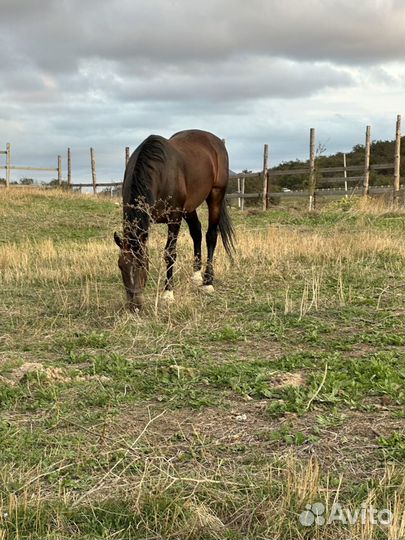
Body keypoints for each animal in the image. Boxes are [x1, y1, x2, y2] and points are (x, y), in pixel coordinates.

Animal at [113, 128, 234, 310]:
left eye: (142, 264)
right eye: (121, 265)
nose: (134, 306)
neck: (159, 173)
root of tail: (216, 141)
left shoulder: (174, 218)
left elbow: (170, 253)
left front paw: (168, 294)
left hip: (215, 195)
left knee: (211, 236)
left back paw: (207, 282)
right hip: (190, 207)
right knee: (196, 232)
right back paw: (196, 276)